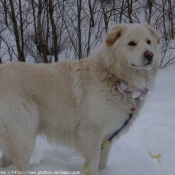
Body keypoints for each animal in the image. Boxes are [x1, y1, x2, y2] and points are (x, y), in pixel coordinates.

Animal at [0, 23, 160, 175]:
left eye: (148, 42)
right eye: (132, 43)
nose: (149, 54)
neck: (115, 77)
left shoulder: (108, 136)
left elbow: (102, 163)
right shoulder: (92, 133)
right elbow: (94, 164)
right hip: (23, 137)